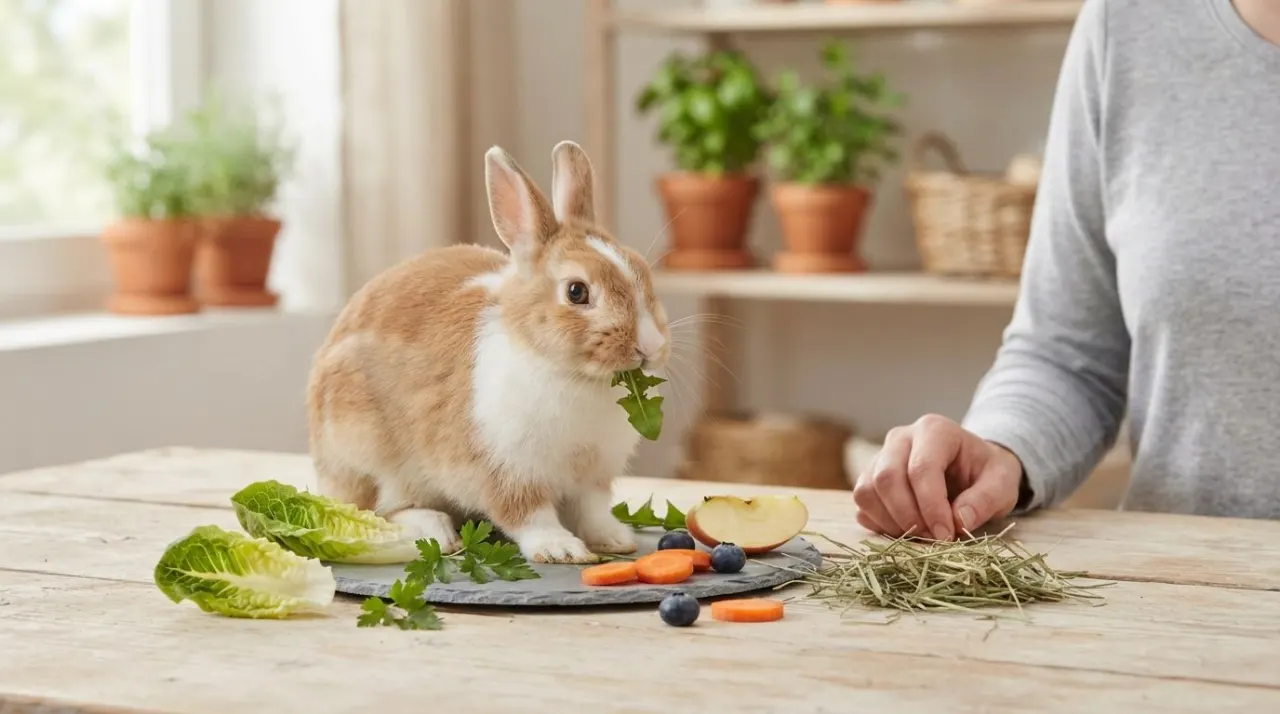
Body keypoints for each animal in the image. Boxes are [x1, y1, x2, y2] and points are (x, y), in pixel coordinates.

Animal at [306, 141, 670, 564]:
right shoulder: (507, 472)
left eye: (643, 272)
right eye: (576, 292)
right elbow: (529, 515)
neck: (564, 370)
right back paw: (437, 530)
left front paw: (613, 540)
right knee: (376, 510)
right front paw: (560, 549)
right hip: (367, 455)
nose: (650, 346)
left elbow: (592, 511)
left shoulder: (591, 478)